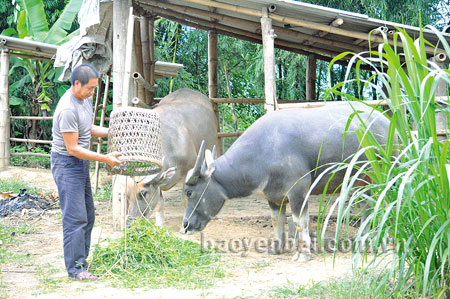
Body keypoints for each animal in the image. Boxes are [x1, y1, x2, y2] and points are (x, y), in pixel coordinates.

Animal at [123, 89, 220, 227]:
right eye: (126, 194)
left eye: (143, 193)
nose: (131, 222)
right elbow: (160, 204)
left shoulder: (190, 171)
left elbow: (186, 199)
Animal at [182, 102, 390, 262]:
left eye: (189, 192)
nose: (185, 225)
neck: (263, 152)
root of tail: (387, 121)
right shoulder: (273, 197)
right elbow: (277, 220)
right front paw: (276, 248)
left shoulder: (299, 190)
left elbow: (300, 221)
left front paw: (303, 253)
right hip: (364, 181)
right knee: (368, 208)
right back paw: (363, 243)